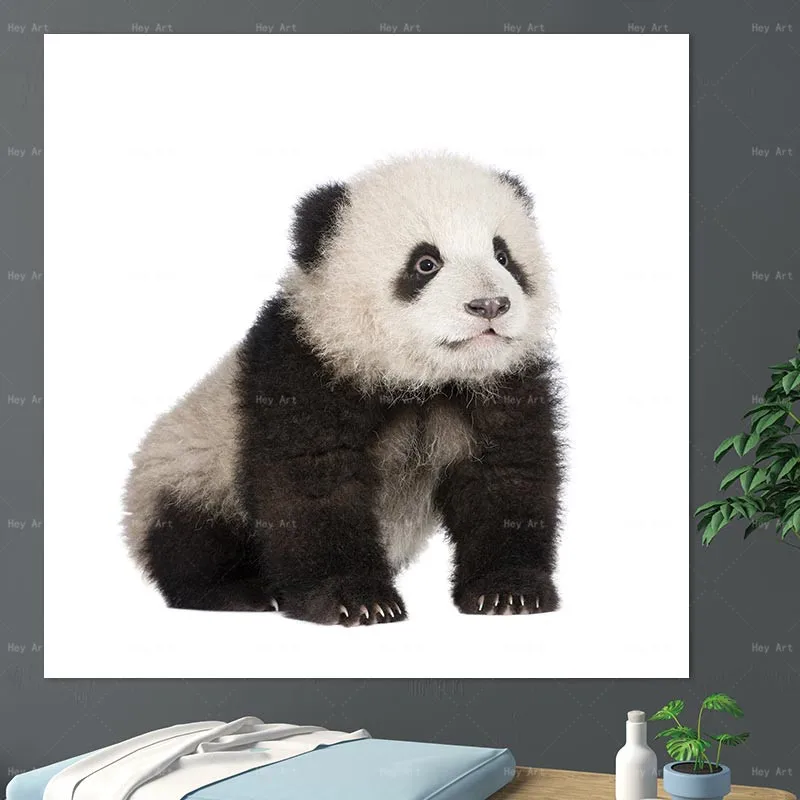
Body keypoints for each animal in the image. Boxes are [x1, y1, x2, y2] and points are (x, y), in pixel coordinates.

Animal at [122, 152, 564, 626]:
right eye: (426, 263)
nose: (490, 306)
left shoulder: (503, 384)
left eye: (503, 255)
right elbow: (316, 484)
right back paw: (238, 592)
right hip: (189, 471)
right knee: (191, 540)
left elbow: (507, 477)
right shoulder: (306, 372)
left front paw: (509, 592)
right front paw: (355, 600)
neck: (422, 378)